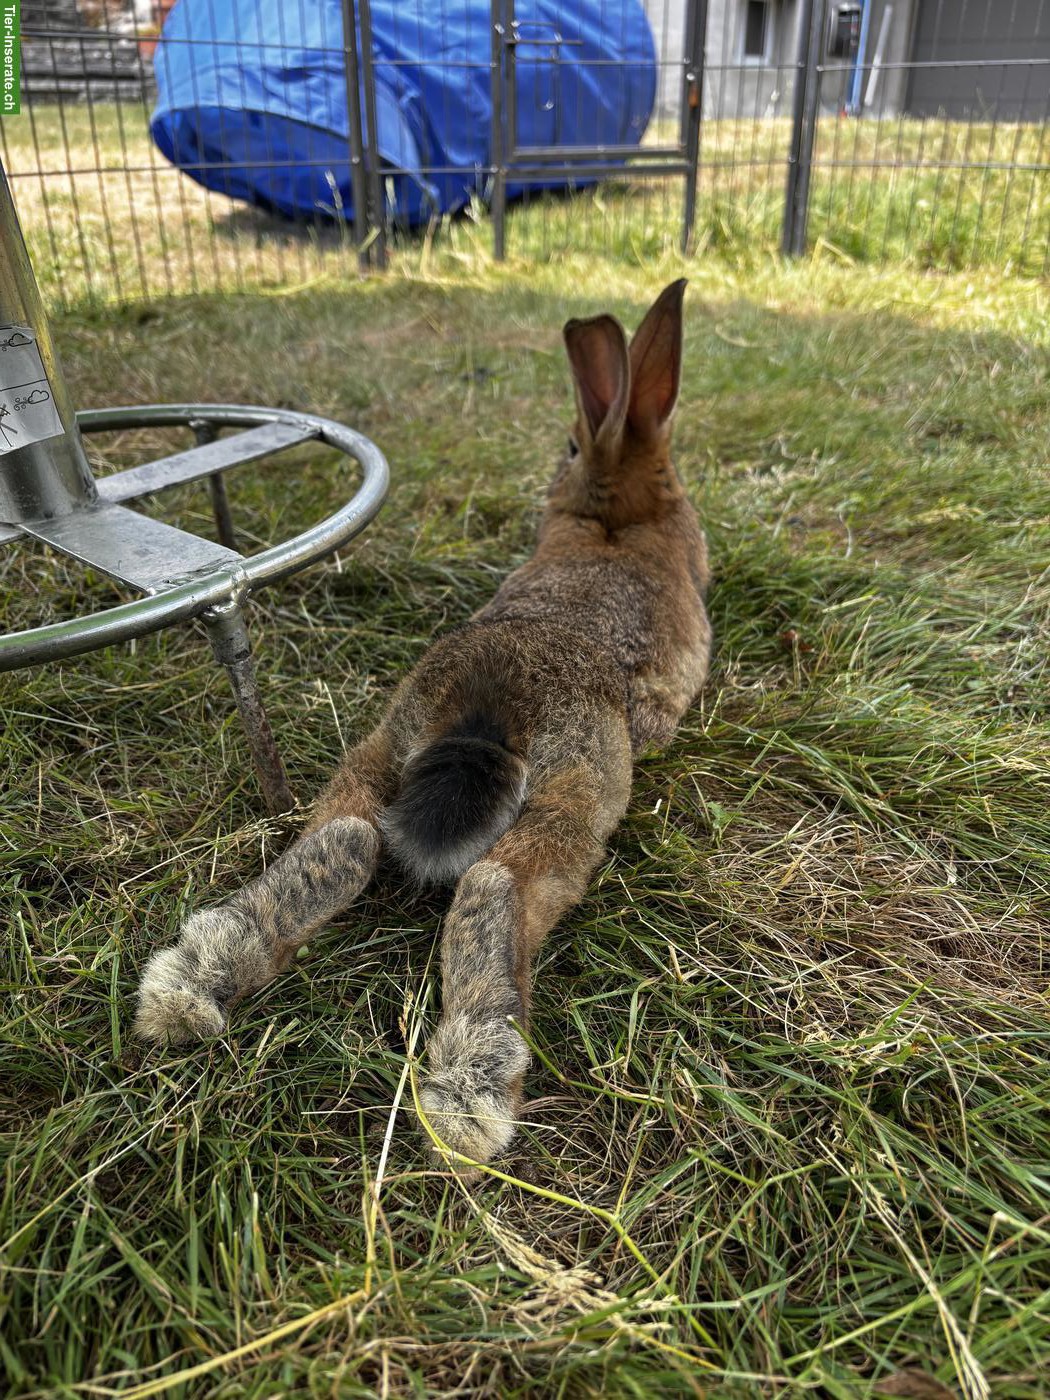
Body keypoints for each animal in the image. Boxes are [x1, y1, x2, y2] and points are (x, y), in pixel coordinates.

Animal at [134, 280, 712, 1167]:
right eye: (570, 443)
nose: (554, 467)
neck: (617, 516)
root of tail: (489, 704)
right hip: (579, 794)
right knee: (493, 883)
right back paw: (472, 1090)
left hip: (383, 743)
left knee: (346, 839)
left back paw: (190, 986)